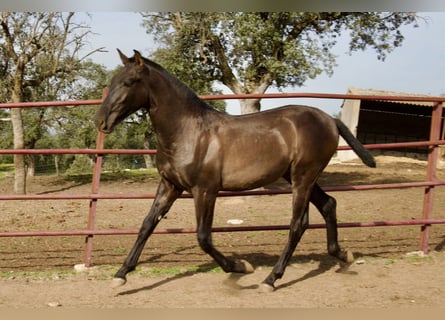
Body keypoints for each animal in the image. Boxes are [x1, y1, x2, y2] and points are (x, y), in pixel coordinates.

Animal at [94, 49, 374, 290]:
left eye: (129, 82)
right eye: (113, 81)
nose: (100, 121)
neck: (188, 132)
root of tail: (330, 120)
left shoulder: (205, 190)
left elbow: (203, 237)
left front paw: (240, 267)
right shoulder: (170, 186)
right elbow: (146, 225)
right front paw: (121, 275)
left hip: (302, 177)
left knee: (298, 224)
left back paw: (271, 279)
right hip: (300, 176)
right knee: (328, 204)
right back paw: (343, 255)